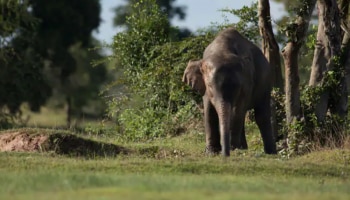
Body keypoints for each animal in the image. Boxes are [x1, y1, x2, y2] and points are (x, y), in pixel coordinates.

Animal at [183, 27, 276, 157]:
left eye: (238, 87)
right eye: (210, 86)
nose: (225, 154)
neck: (222, 50)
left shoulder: (246, 85)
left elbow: (237, 110)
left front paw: (233, 148)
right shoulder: (205, 90)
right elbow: (209, 112)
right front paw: (211, 152)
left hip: (265, 85)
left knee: (261, 116)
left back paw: (270, 153)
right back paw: (243, 148)